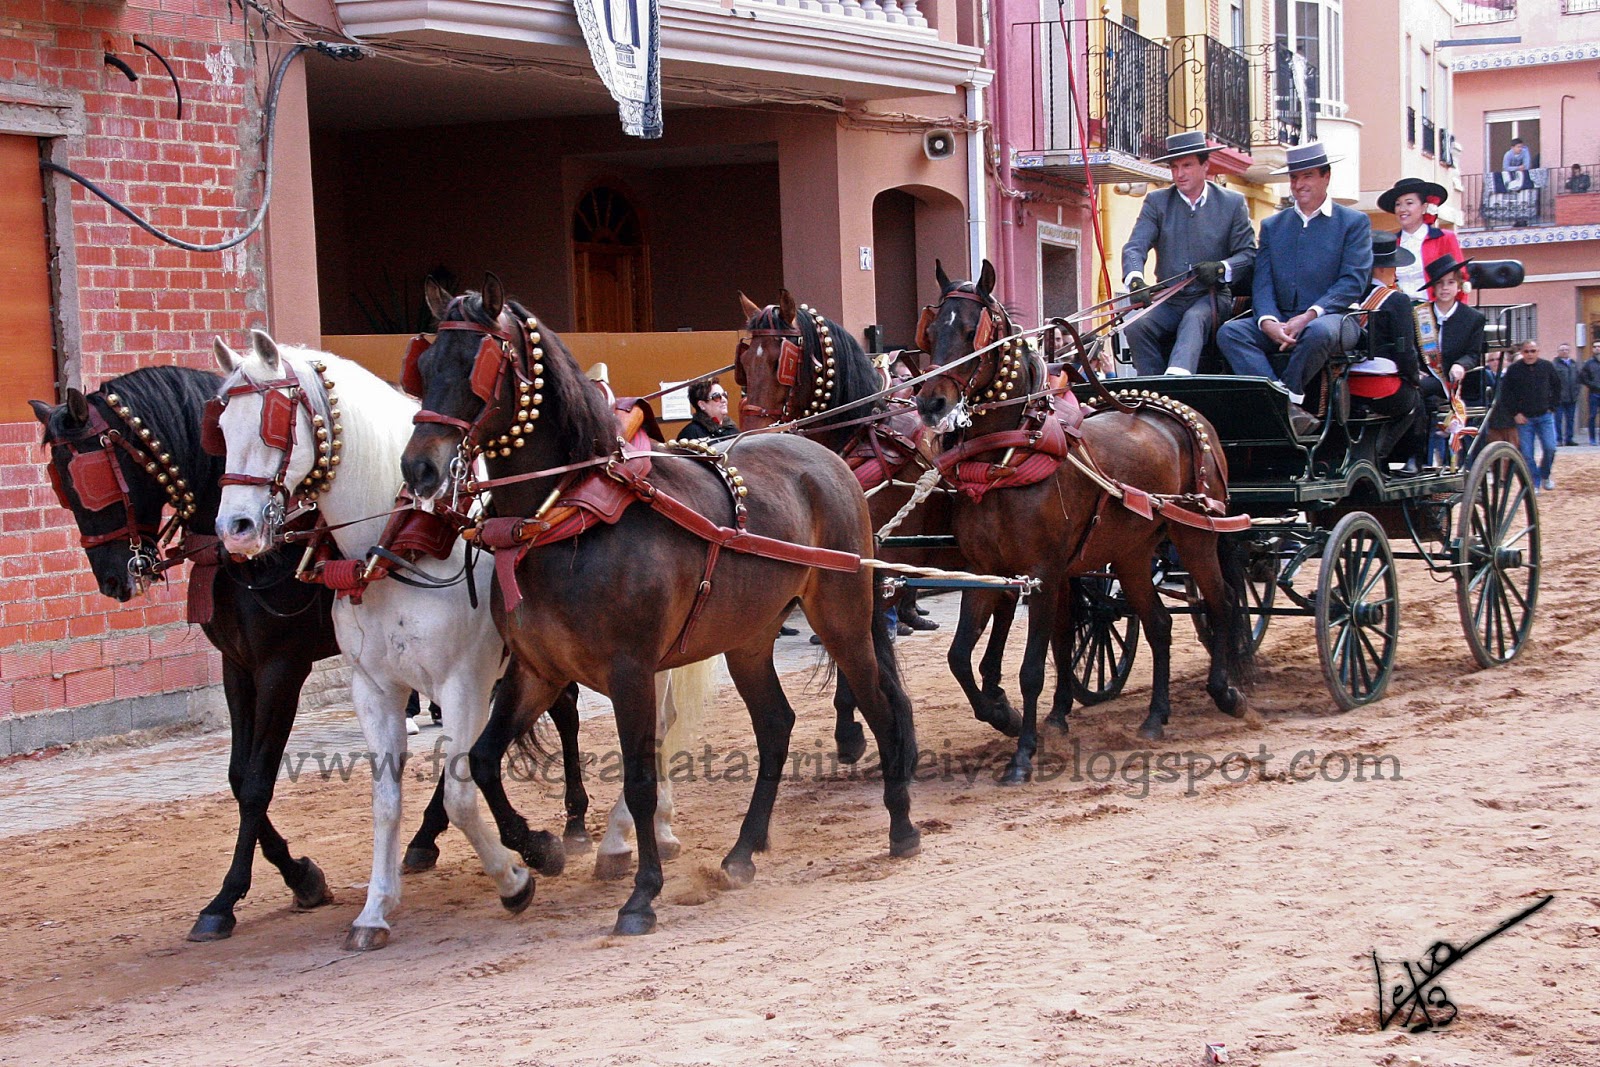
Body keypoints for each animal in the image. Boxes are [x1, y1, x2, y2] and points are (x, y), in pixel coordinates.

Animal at [212, 334, 713, 953]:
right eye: (220, 427)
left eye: (275, 423)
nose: (234, 529)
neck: (401, 543)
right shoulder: (373, 687)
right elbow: (386, 800)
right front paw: (375, 909)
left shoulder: (464, 681)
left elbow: (460, 787)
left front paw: (519, 871)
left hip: (638, 658)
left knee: (657, 728)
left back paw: (624, 838)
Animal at [400, 275, 921, 934]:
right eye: (425, 366)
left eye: (478, 365)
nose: (419, 466)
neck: (564, 521)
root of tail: (826, 458)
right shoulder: (537, 671)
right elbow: (484, 760)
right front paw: (536, 853)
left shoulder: (630, 671)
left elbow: (641, 780)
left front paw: (642, 893)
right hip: (748, 636)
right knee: (776, 725)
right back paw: (742, 852)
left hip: (841, 613)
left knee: (879, 702)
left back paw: (901, 824)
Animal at [736, 292, 1024, 742]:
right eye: (745, 363)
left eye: (783, 362)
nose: (752, 435)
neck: (859, 446)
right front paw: (848, 723)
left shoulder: (873, 569)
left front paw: (849, 723)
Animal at [915, 259, 1248, 777]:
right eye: (930, 332)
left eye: (973, 332)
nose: (931, 403)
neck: (1007, 456)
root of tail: (1184, 412)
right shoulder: (986, 572)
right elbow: (959, 658)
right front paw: (1002, 715)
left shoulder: (1044, 575)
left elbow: (1032, 668)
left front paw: (1023, 754)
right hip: (1132, 554)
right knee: (1159, 624)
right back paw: (1156, 716)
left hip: (1195, 534)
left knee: (1222, 602)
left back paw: (1226, 691)